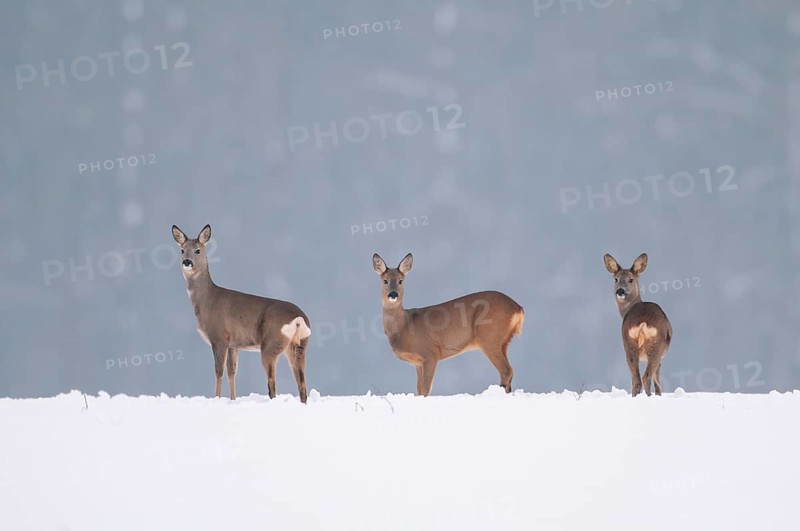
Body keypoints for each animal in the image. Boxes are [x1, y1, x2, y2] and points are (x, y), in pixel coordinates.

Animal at [171, 224, 311, 403]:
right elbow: (232, 372)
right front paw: (232, 400)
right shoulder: (234, 344)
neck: (207, 300)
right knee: (302, 385)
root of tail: (298, 319)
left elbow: (219, 371)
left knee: (272, 384)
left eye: (197, 250)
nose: (187, 262)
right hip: (298, 346)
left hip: (271, 344)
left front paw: (217, 398)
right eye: (182, 250)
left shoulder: (219, 338)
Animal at [372, 253, 525, 396]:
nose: (393, 294)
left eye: (400, 281)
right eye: (385, 281)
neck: (405, 326)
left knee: (506, 371)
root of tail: (518, 308)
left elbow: (425, 389)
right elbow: (419, 389)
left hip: (489, 336)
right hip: (503, 341)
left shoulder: (430, 353)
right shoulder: (418, 363)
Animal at [603, 253, 672, 397]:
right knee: (646, 377)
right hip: (656, 346)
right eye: (616, 279)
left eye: (631, 279)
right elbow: (657, 381)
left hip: (628, 344)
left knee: (636, 380)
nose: (620, 291)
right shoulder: (661, 358)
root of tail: (642, 323)